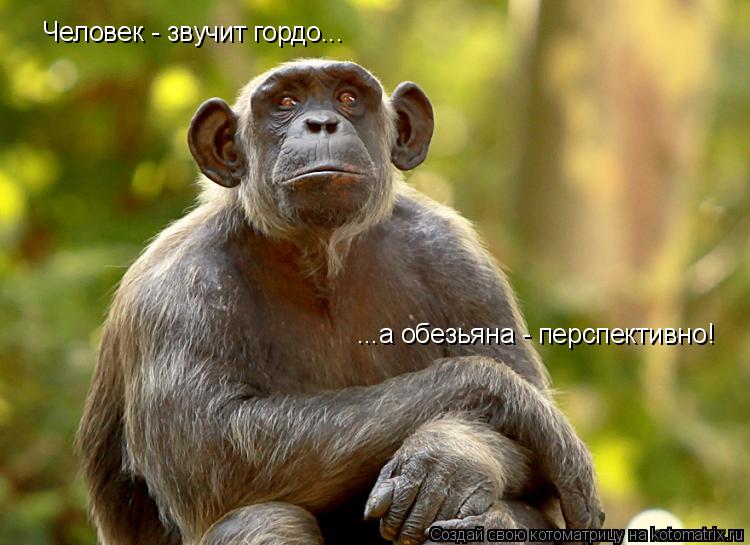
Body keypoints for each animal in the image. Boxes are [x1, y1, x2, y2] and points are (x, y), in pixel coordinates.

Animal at [76, 59, 603, 545]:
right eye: (285, 102)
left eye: (348, 97)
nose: (322, 123)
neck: (318, 259)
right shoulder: (177, 293)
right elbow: (211, 452)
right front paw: (505, 400)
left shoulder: (464, 269)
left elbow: (535, 484)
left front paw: (451, 457)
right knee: (263, 517)